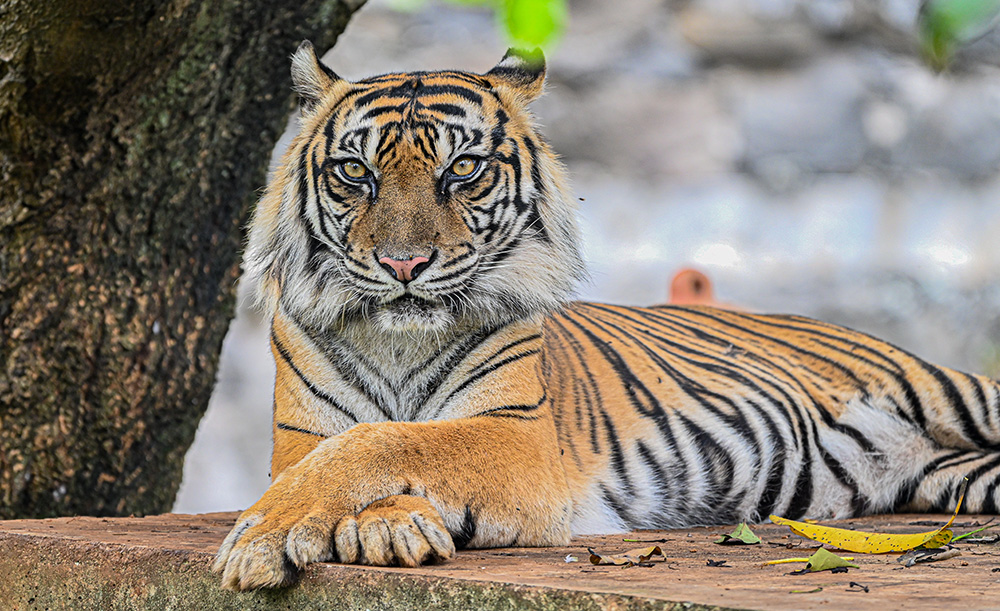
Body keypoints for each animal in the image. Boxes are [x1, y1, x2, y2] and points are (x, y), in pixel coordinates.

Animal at [213, 39, 1000, 592]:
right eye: (356, 172)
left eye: (462, 169)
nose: (403, 264)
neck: (400, 345)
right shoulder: (298, 439)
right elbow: (353, 449)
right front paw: (384, 527)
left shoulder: (519, 438)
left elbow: (388, 441)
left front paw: (264, 537)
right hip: (958, 476)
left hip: (952, 391)